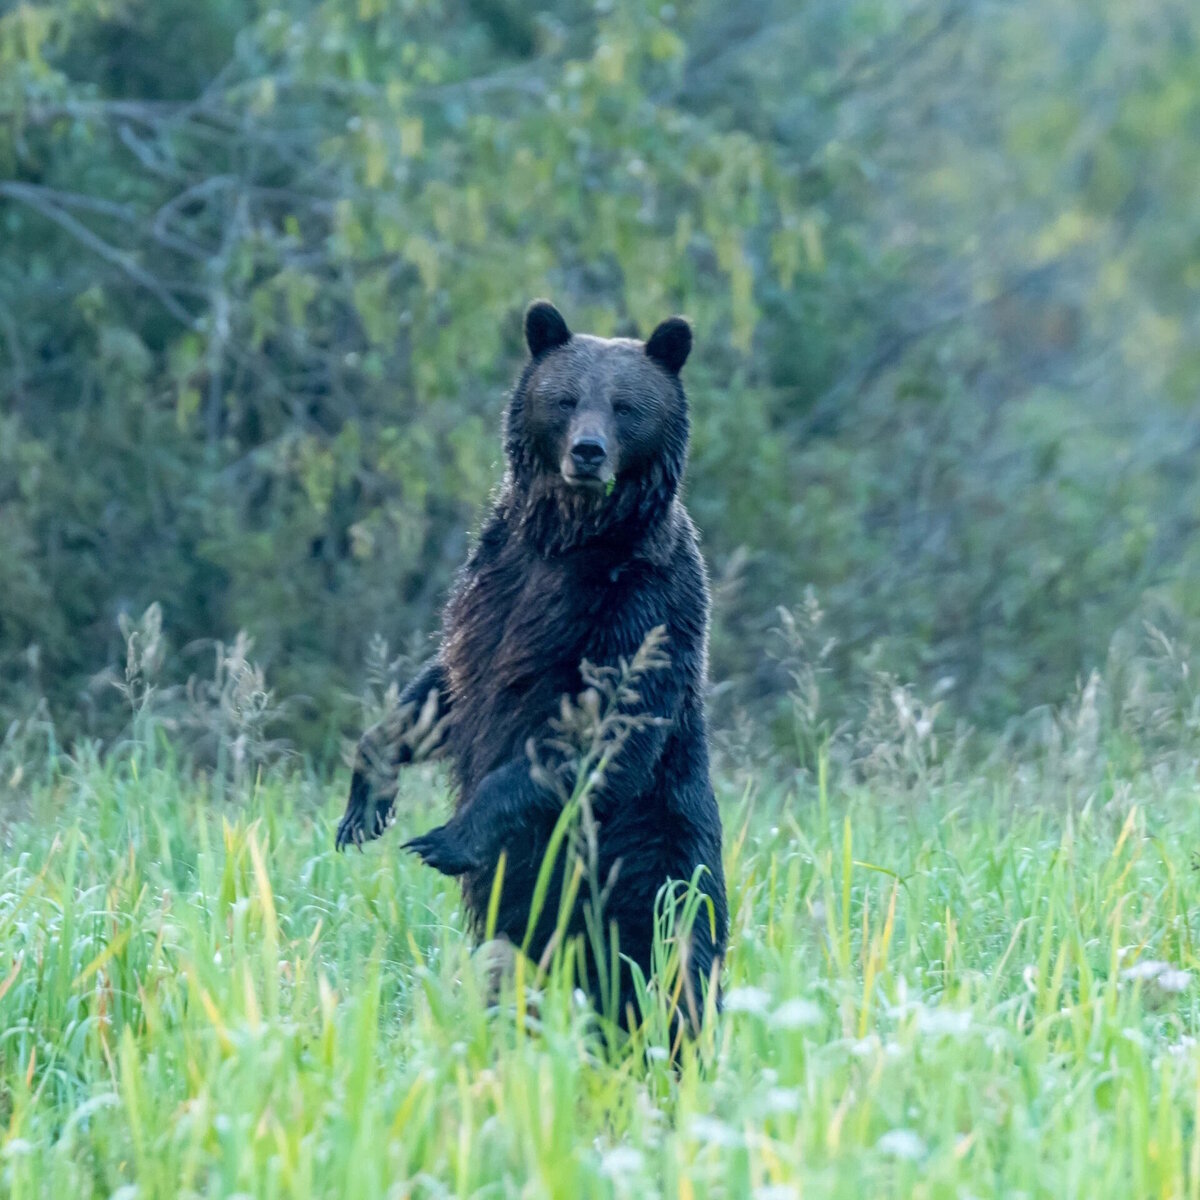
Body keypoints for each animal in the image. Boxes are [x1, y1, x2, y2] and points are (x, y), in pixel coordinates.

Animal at [340, 302, 729, 1032]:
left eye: (627, 405)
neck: (570, 537)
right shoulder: (494, 589)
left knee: (668, 972)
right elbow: (438, 692)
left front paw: (447, 838)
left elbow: (605, 729)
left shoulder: (641, 607)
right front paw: (365, 803)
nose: (588, 451)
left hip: (648, 868)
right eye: (566, 397)